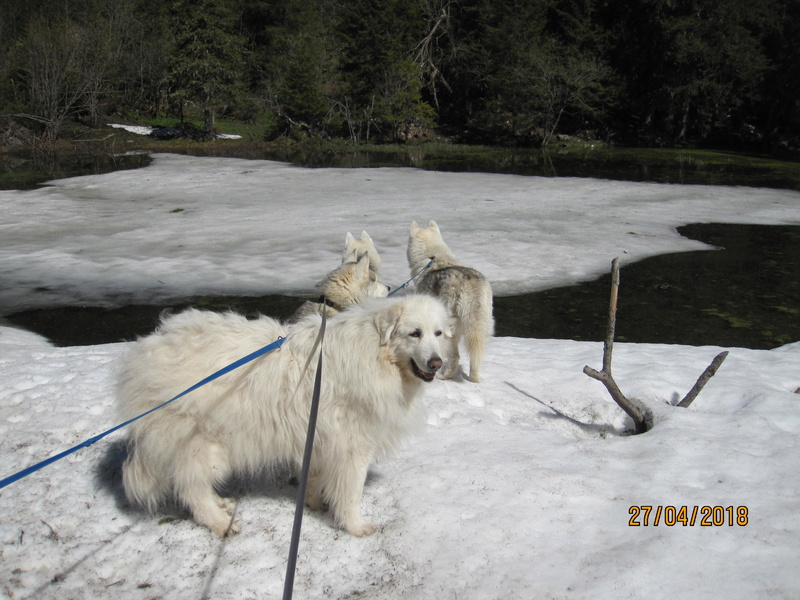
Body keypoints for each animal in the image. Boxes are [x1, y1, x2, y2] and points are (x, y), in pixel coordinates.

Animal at [115, 292, 450, 536]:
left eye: (438, 333)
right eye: (414, 333)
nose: (437, 363)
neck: (375, 354)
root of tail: (149, 348)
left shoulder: (321, 437)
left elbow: (314, 477)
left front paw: (314, 503)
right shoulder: (352, 447)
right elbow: (351, 494)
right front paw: (356, 527)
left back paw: (222, 506)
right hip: (204, 444)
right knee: (191, 487)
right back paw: (219, 523)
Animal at [406, 220, 494, 384]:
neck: (432, 258)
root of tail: (471, 285)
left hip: (448, 330)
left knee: (455, 357)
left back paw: (443, 376)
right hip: (482, 327)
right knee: (475, 357)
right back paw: (473, 380)